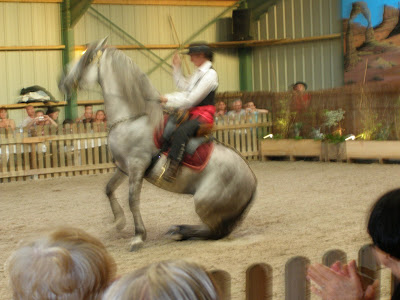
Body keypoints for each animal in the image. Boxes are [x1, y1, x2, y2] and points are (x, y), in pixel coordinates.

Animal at [58, 38, 258, 252]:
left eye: (86, 59)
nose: (62, 83)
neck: (132, 118)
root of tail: (252, 181)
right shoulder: (123, 167)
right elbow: (109, 188)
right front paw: (119, 221)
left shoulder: (137, 165)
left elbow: (132, 200)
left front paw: (138, 237)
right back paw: (178, 230)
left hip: (204, 203)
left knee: (215, 232)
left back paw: (180, 231)